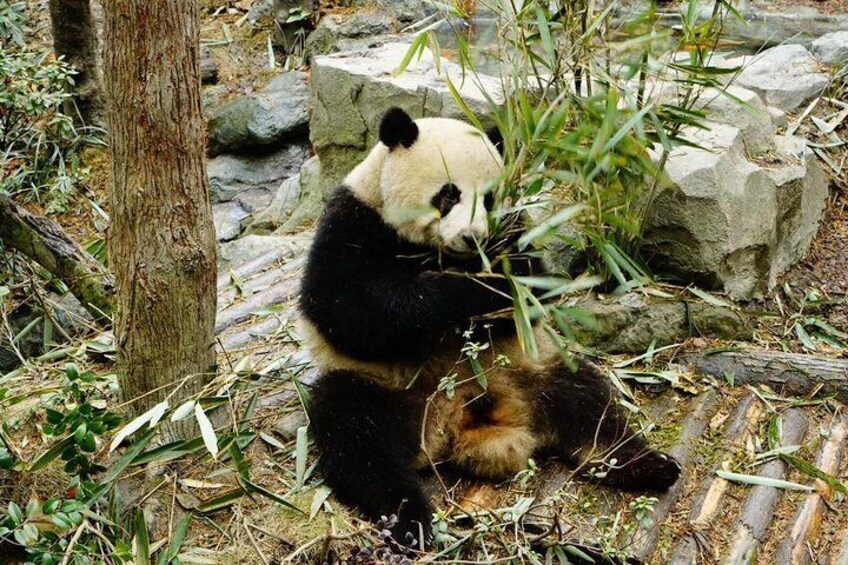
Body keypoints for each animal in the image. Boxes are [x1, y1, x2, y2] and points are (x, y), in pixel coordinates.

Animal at [300, 106, 684, 548]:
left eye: (489, 198)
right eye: (449, 194)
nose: (474, 238)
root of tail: (454, 426)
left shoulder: (517, 230)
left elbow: (537, 284)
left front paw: (505, 278)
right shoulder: (352, 223)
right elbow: (351, 310)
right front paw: (475, 289)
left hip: (533, 367)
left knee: (592, 409)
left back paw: (649, 465)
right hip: (384, 388)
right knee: (358, 438)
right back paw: (410, 519)